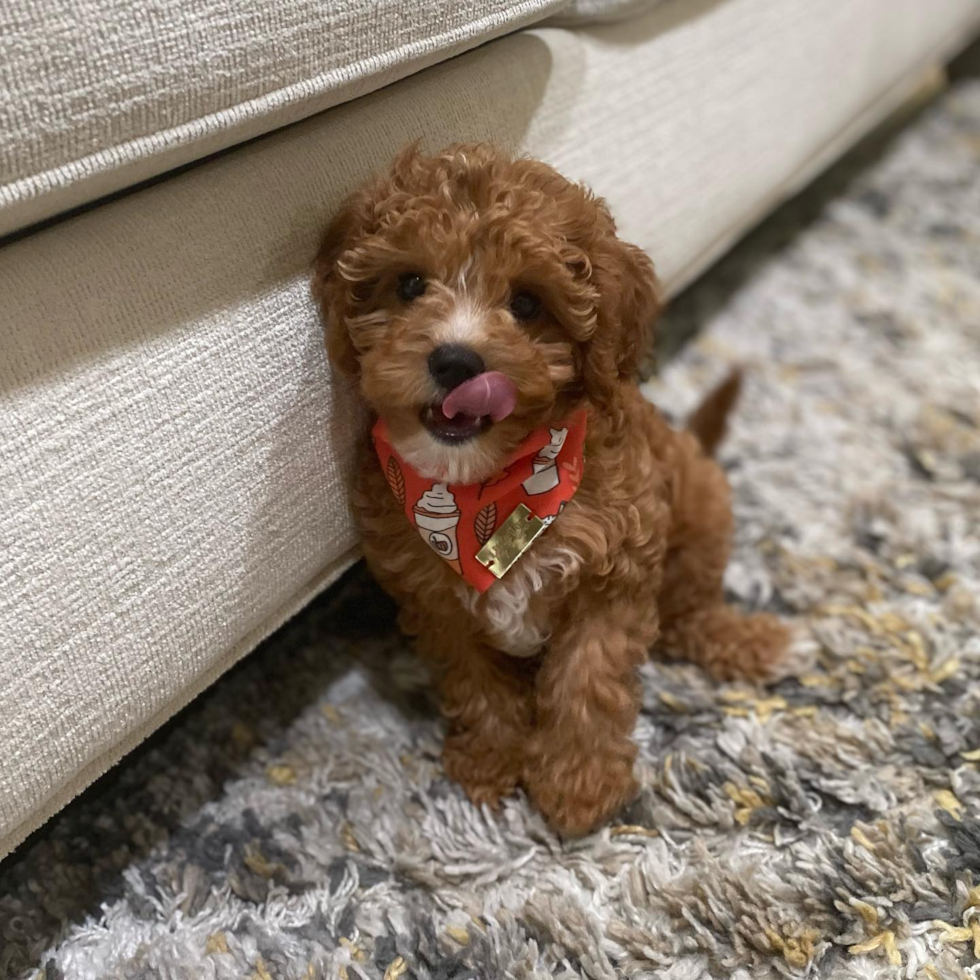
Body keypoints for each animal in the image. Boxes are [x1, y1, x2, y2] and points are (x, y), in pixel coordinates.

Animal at [314, 142, 788, 840]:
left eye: (528, 304)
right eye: (409, 285)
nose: (456, 362)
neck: (487, 488)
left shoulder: (614, 577)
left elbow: (587, 681)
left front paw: (578, 786)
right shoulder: (433, 599)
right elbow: (473, 679)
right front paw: (492, 759)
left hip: (702, 510)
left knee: (689, 613)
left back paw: (744, 642)